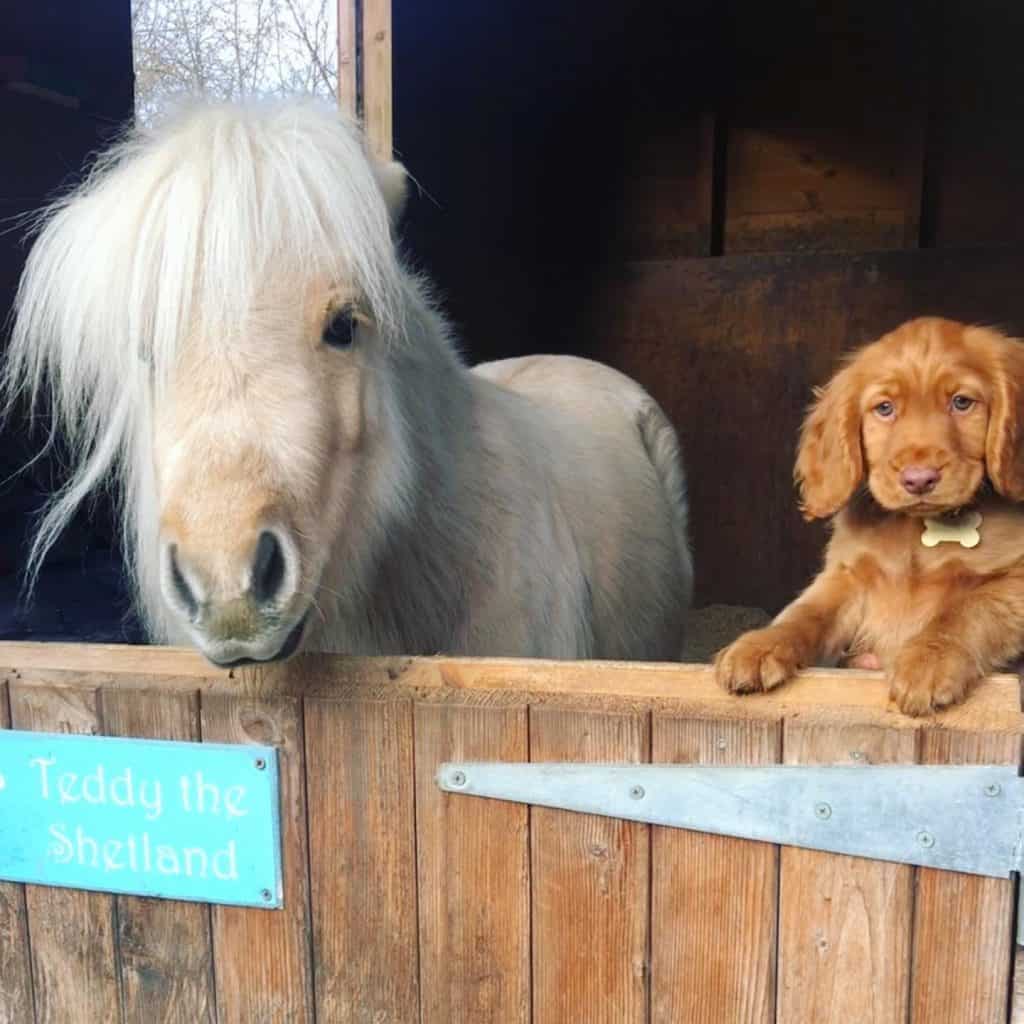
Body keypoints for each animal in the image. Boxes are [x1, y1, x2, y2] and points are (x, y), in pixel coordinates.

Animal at [716, 315, 1024, 716]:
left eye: (961, 402)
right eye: (884, 408)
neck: (919, 530)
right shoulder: (847, 576)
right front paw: (760, 644)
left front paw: (929, 659)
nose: (919, 479)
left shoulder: (1015, 581)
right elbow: (806, 612)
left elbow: (967, 609)